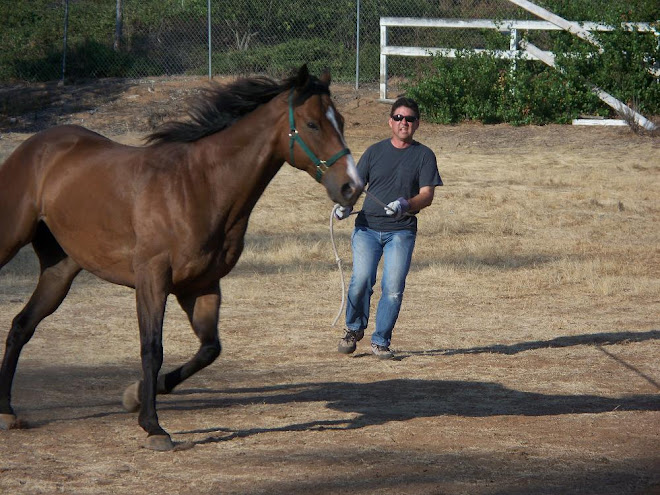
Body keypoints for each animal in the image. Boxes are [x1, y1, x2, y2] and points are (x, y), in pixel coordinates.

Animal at [0, 65, 360, 450]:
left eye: (340, 120)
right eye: (312, 124)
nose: (352, 187)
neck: (200, 186)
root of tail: (36, 146)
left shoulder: (201, 286)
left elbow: (209, 349)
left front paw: (138, 394)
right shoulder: (153, 280)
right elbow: (152, 348)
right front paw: (153, 425)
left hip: (61, 269)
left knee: (21, 325)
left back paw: (6, 410)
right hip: (10, 242)